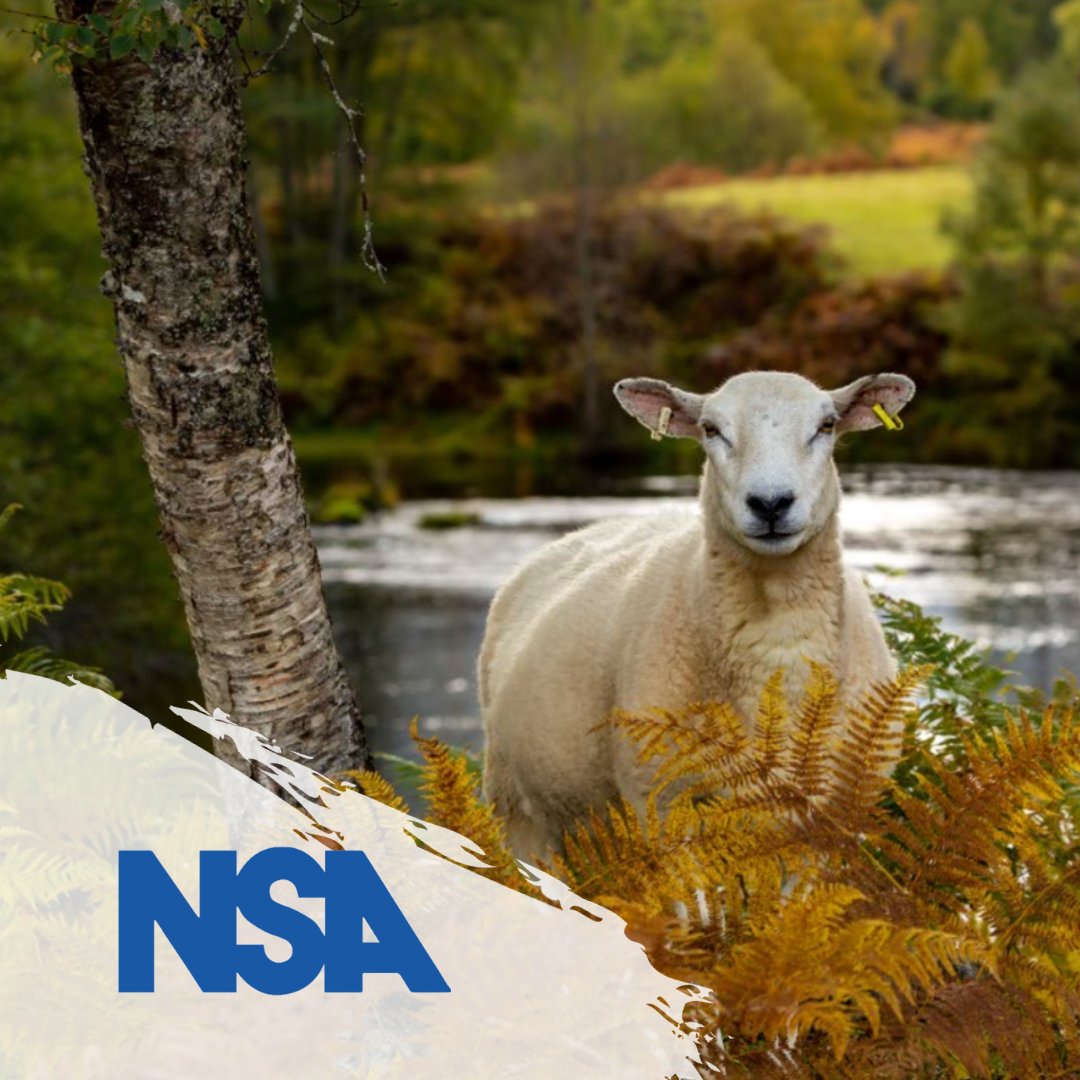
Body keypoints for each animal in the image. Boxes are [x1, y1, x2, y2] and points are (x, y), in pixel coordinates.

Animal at [478, 370, 916, 861]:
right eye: (711, 429)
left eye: (827, 425)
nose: (770, 503)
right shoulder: (662, 808)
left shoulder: (828, 827)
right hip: (517, 809)